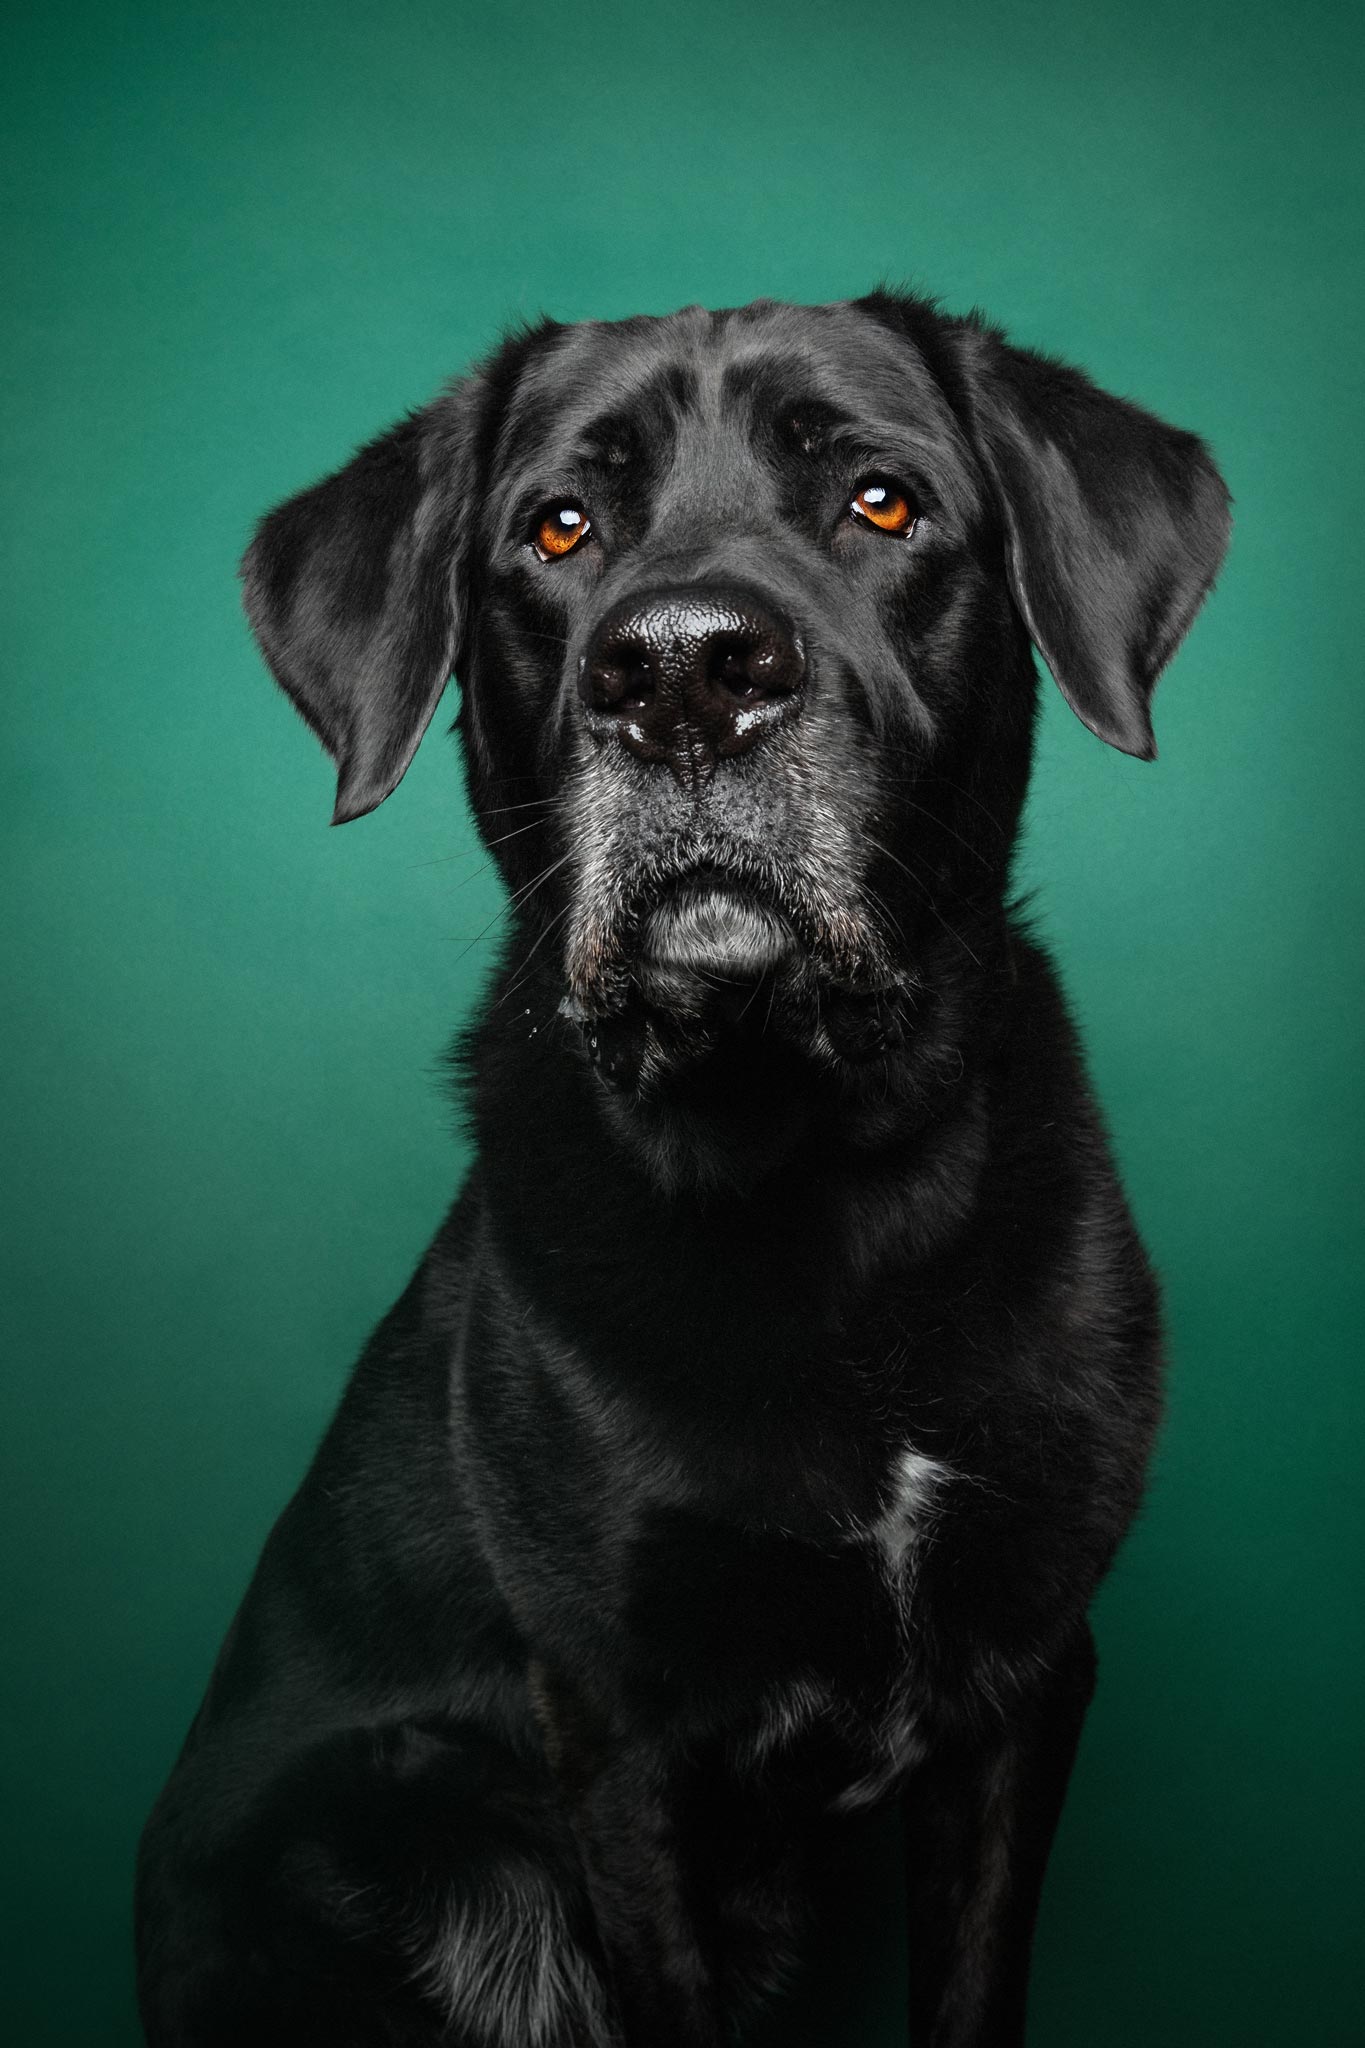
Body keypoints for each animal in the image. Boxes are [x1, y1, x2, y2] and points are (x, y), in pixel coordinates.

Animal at [135, 290, 1229, 2046]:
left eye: (881, 502)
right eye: (556, 528)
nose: (683, 673)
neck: (824, 1179)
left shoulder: (1027, 1676)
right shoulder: (621, 1734)